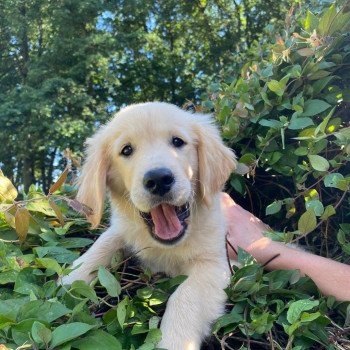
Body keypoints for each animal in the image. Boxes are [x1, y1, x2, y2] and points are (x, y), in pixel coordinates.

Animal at [62, 102, 238, 350]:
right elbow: (104, 243)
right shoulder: (124, 229)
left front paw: (173, 341)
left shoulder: (216, 262)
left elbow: (186, 294)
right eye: (126, 150)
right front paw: (68, 279)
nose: (158, 179)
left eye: (177, 142)